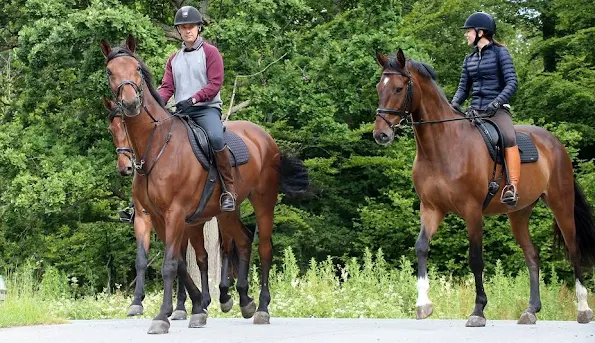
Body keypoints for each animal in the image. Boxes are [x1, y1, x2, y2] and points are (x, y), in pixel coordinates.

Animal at [99, 36, 308, 334]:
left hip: (263, 201)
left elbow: (170, 265)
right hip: (226, 211)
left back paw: (262, 308)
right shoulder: (151, 217)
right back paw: (243, 300)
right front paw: (195, 306)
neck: (156, 147)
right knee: (242, 240)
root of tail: (264, 138)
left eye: (137, 68)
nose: (129, 103)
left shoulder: (175, 215)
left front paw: (163, 316)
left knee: (264, 248)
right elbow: (170, 263)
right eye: (110, 71)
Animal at [374, 49, 592, 328]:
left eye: (399, 88)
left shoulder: (472, 211)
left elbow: (475, 259)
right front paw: (423, 304)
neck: (443, 145)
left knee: (573, 250)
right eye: (379, 87)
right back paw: (531, 310)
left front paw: (478, 310)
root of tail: (556, 144)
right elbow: (421, 246)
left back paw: (583, 309)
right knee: (532, 255)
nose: (381, 135)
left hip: (561, 205)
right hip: (519, 213)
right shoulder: (431, 209)